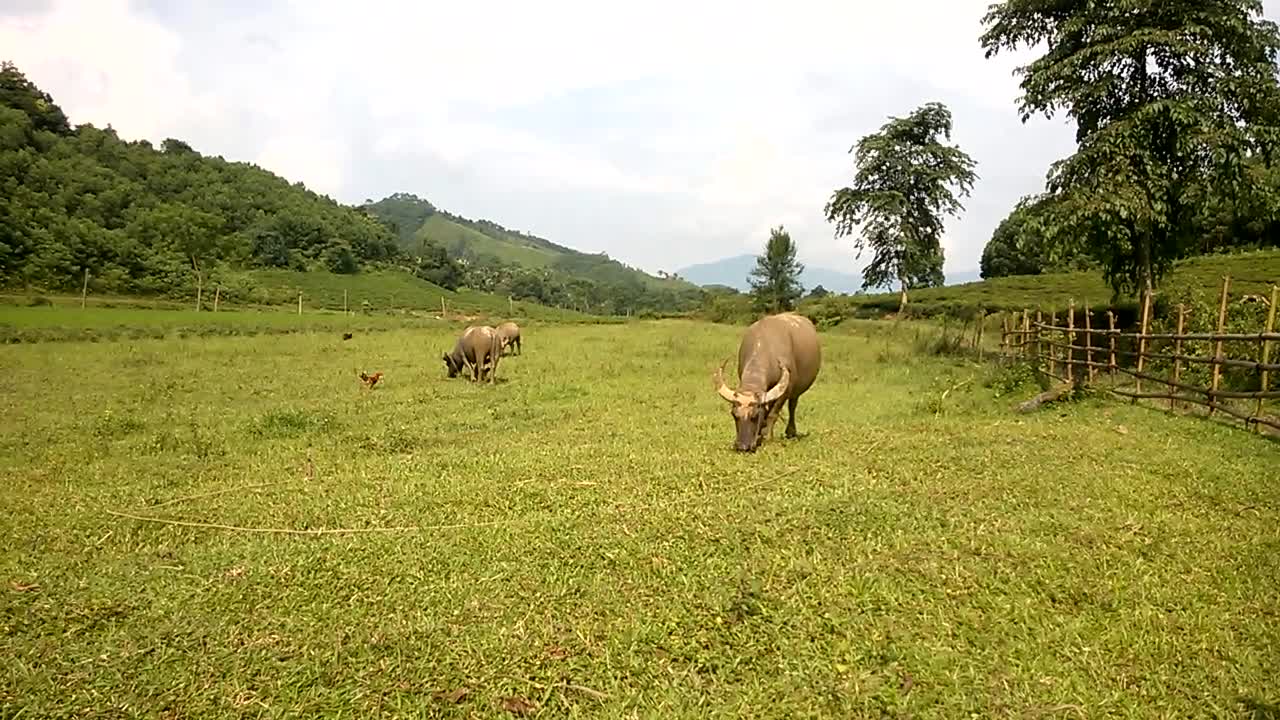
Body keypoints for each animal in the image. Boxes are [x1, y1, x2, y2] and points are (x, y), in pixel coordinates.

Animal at [711, 311, 819, 450]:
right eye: (734, 415)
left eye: (755, 416)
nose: (743, 446)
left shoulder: (785, 391)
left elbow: (773, 413)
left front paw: (767, 437)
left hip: (796, 392)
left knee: (792, 406)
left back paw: (790, 432)